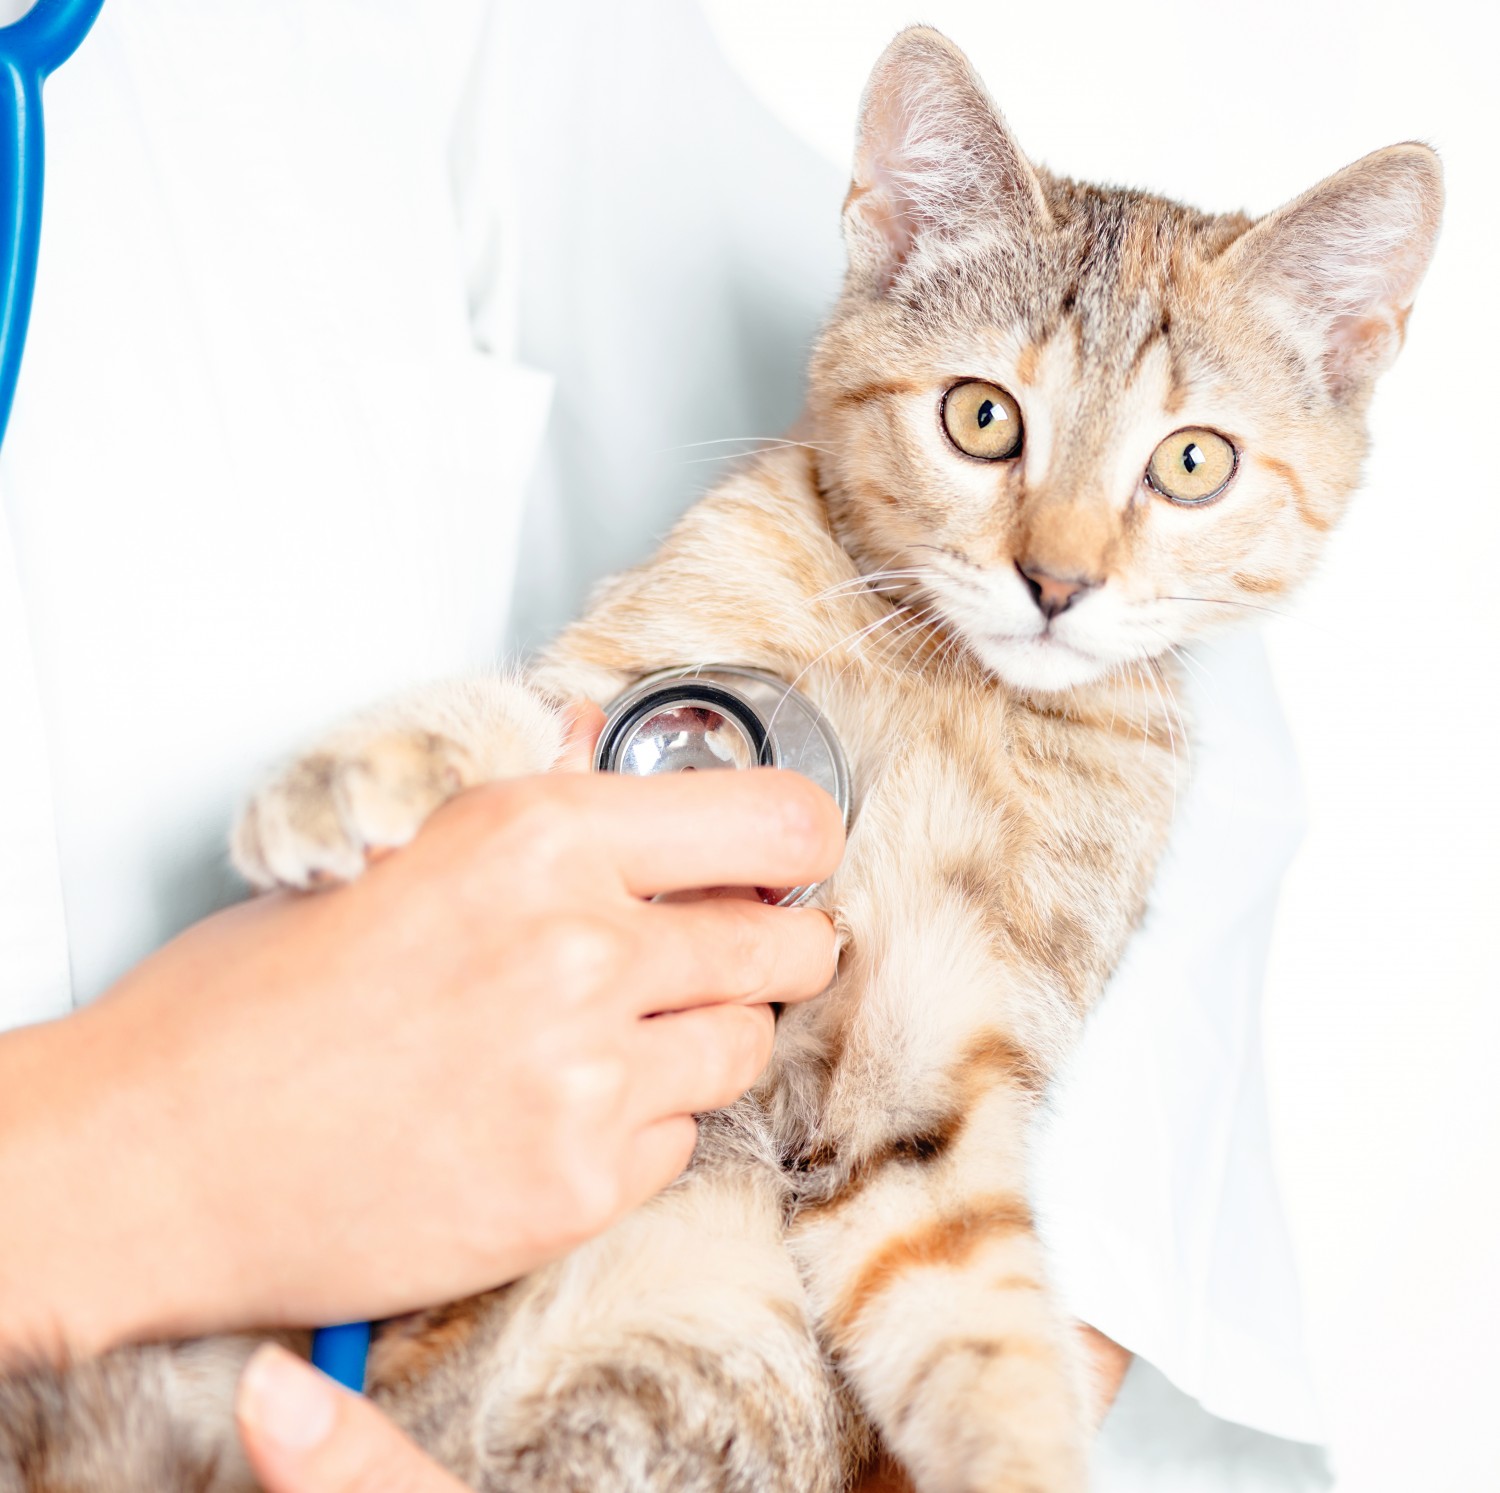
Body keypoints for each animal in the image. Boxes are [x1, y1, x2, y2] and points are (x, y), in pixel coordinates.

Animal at [0, 23, 1440, 1493]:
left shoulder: (928, 1091)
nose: (1057, 582)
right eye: (983, 418)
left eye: (1193, 463)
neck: (950, 689)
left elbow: (987, 1341)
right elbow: (523, 723)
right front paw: (353, 771)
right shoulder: (619, 688)